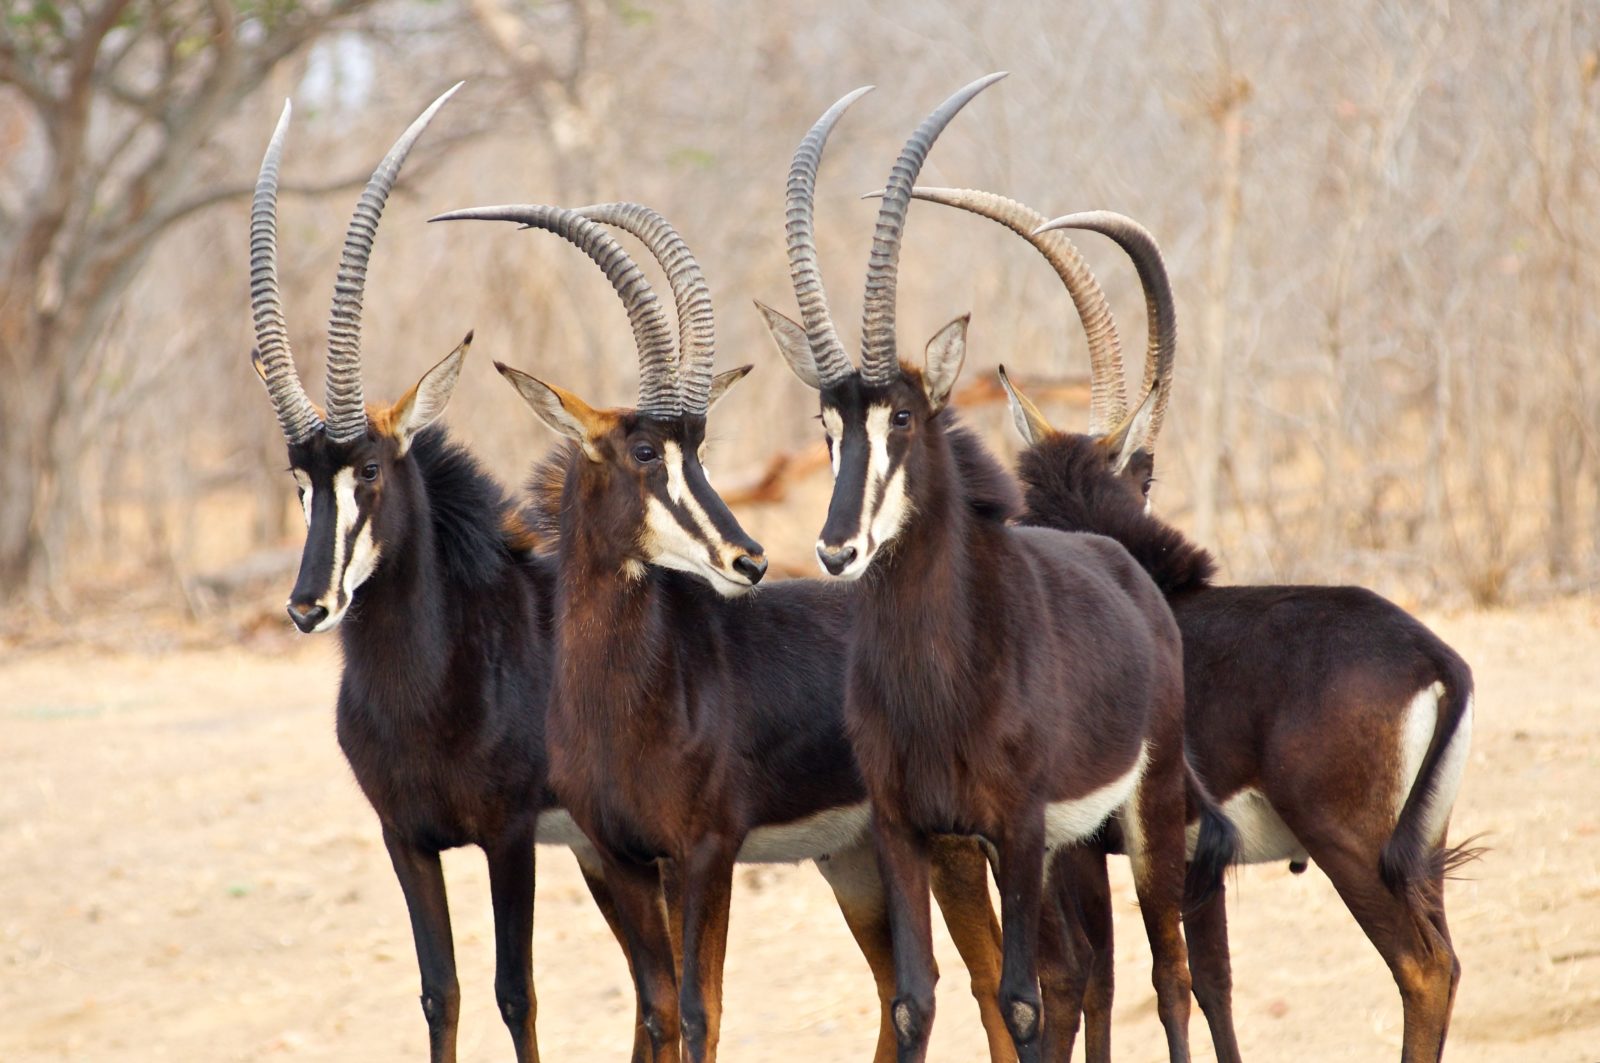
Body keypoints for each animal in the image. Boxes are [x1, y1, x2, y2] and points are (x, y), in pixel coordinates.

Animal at [433, 199, 1016, 1063]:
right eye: (644, 448)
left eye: (700, 445)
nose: (750, 558)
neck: (626, 697)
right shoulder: (622, 855)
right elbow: (657, 1010)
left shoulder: (706, 852)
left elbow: (699, 1011)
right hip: (854, 853)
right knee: (903, 985)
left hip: (942, 841)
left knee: (988, 976)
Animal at [756, 75, 1234, 1063]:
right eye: (828, 424)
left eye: (904, 416)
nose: (836, 549)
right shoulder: (912, 830)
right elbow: (919, 1000)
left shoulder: (1016, 829)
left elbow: (1021, 996)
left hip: (1147, 811)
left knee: (1168, 970)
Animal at [914, 186, 1477, 1062]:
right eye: (1145, 472)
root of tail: (1435, 660)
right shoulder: (1190, 860)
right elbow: (1205, 979)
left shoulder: (1075, 844)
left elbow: (1082, 979)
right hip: (1419, 850)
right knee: (1443, 958)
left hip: (1349, 845)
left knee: (1425, 968)